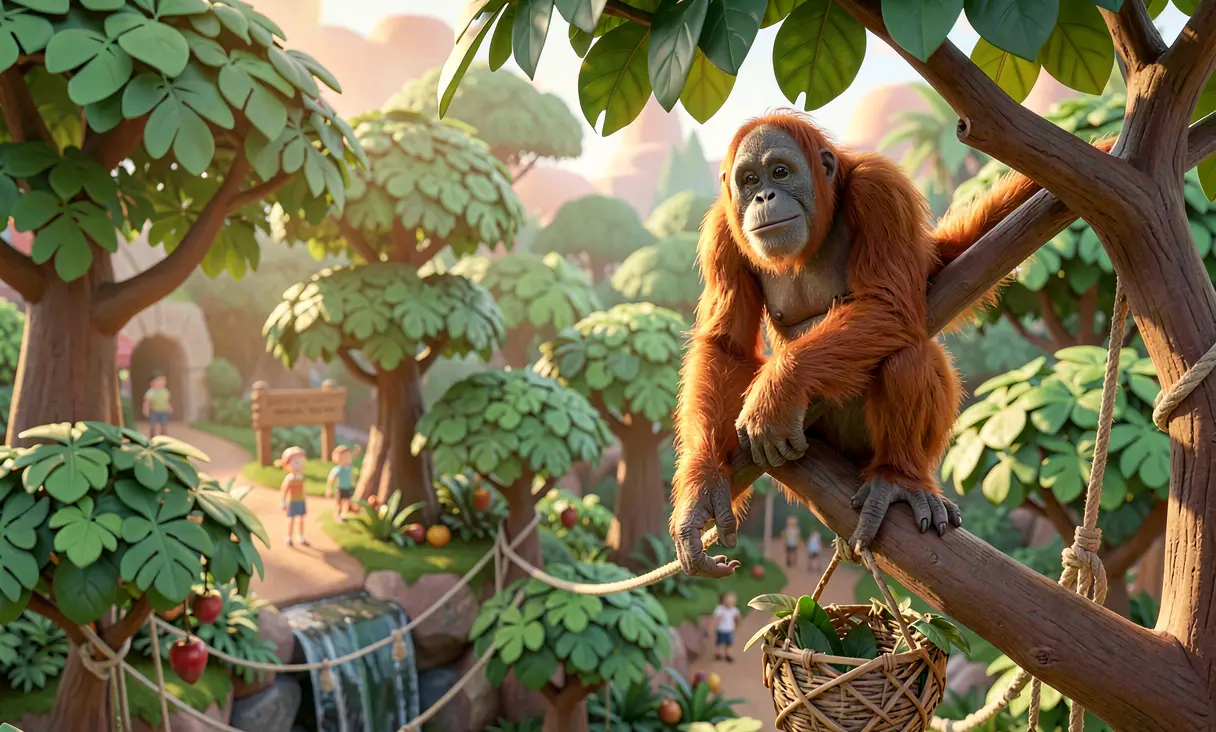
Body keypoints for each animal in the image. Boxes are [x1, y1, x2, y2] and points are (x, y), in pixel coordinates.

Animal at [669, 110, 1094, 578]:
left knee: (907, 355)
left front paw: (774, 395)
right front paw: (703, 489)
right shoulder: (721, 232)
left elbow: (889, 304)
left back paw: (897, 479)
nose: (763, 195)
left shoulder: (881, 189)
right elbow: (726, 345)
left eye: (780, 171)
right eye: (748, 179)